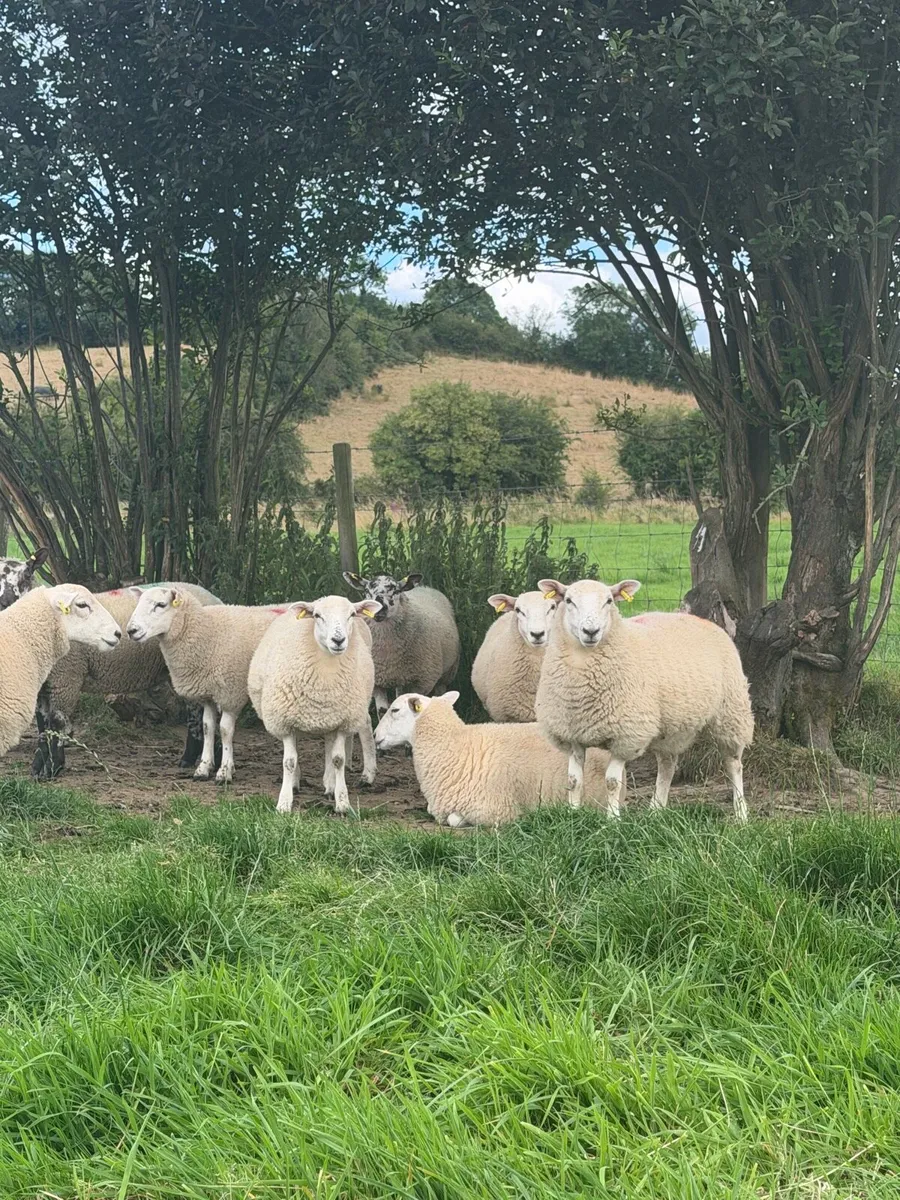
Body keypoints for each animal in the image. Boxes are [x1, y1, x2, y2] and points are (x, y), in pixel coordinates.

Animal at [33, 581, 222, 780]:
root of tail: (214, 598)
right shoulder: (43, 686)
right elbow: (42, 725)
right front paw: (39, 767)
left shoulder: (66, 678)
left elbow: (56, 723)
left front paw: (53, 767)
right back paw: (191, 758)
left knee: (199, 712)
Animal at [126, 587, 290, 784]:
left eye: (161, 604)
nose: (131, 630)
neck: (207, 630)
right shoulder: (207, 693)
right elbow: (207, 727)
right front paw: (204, 768)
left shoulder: (230, 693)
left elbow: (225, 730)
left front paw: (224, 772)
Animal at [248, 594, 381, 814]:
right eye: (317, 615)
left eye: (352, 614)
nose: (338, 640)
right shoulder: (285, 722)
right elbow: (289, 762)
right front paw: (284, 803)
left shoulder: (343, 721)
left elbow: (338, 759)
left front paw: (342, 801)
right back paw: (297, 783)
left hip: (337, 715)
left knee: (340, 740)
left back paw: (336, 783)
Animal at [343, 572, 460, 716]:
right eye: (366, 591)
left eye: (396, 590)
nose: (380, 609)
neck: (387, 656)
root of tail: (425, 587)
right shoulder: (377, 681)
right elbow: (382, 711)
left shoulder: (422, 682)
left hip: (448, 672)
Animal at [535, 578, 754, 821]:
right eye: (568, 600)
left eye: (609, 601)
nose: (591, 631)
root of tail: (702, 621)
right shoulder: (572, 734)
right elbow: (573, 781)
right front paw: (573, 814)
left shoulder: (626, 736)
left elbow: (612, 782)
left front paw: (613, 820)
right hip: (672, 726)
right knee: (667, 766)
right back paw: (656, 811)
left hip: (732, 712)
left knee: (734, 765)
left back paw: (741, 814)